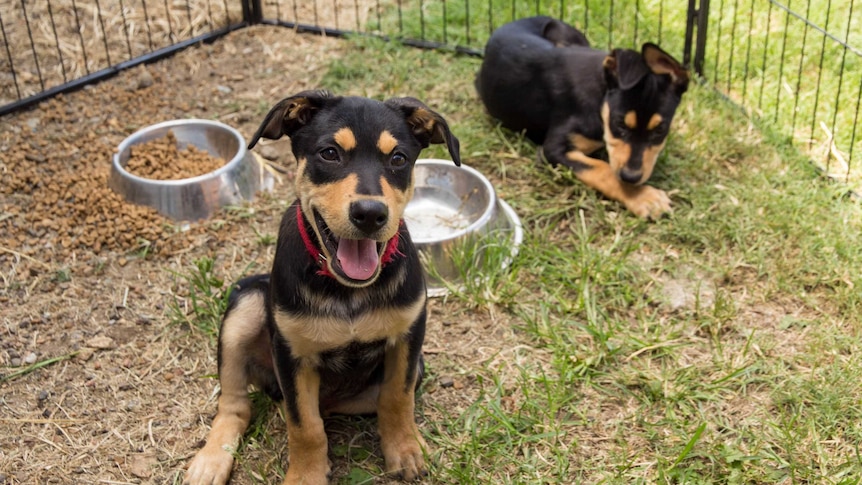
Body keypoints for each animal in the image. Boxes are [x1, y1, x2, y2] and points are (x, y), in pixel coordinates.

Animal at [186, 91, 462, 484]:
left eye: (398, 159)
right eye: (329, 153)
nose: (370, 214)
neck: (348, 290)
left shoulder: (408, 335)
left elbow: (397, 397)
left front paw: (405, 450)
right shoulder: (291, 354)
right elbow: (305, 425)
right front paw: (306, 475)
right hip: (248, 303)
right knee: (235, 405)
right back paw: (210, 462)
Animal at [476, 15, 692, 217]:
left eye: (660, 130)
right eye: (619, 124)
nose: (631, 177)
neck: (601, 97)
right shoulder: (553, 149)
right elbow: (602, 169)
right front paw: (644, 198)